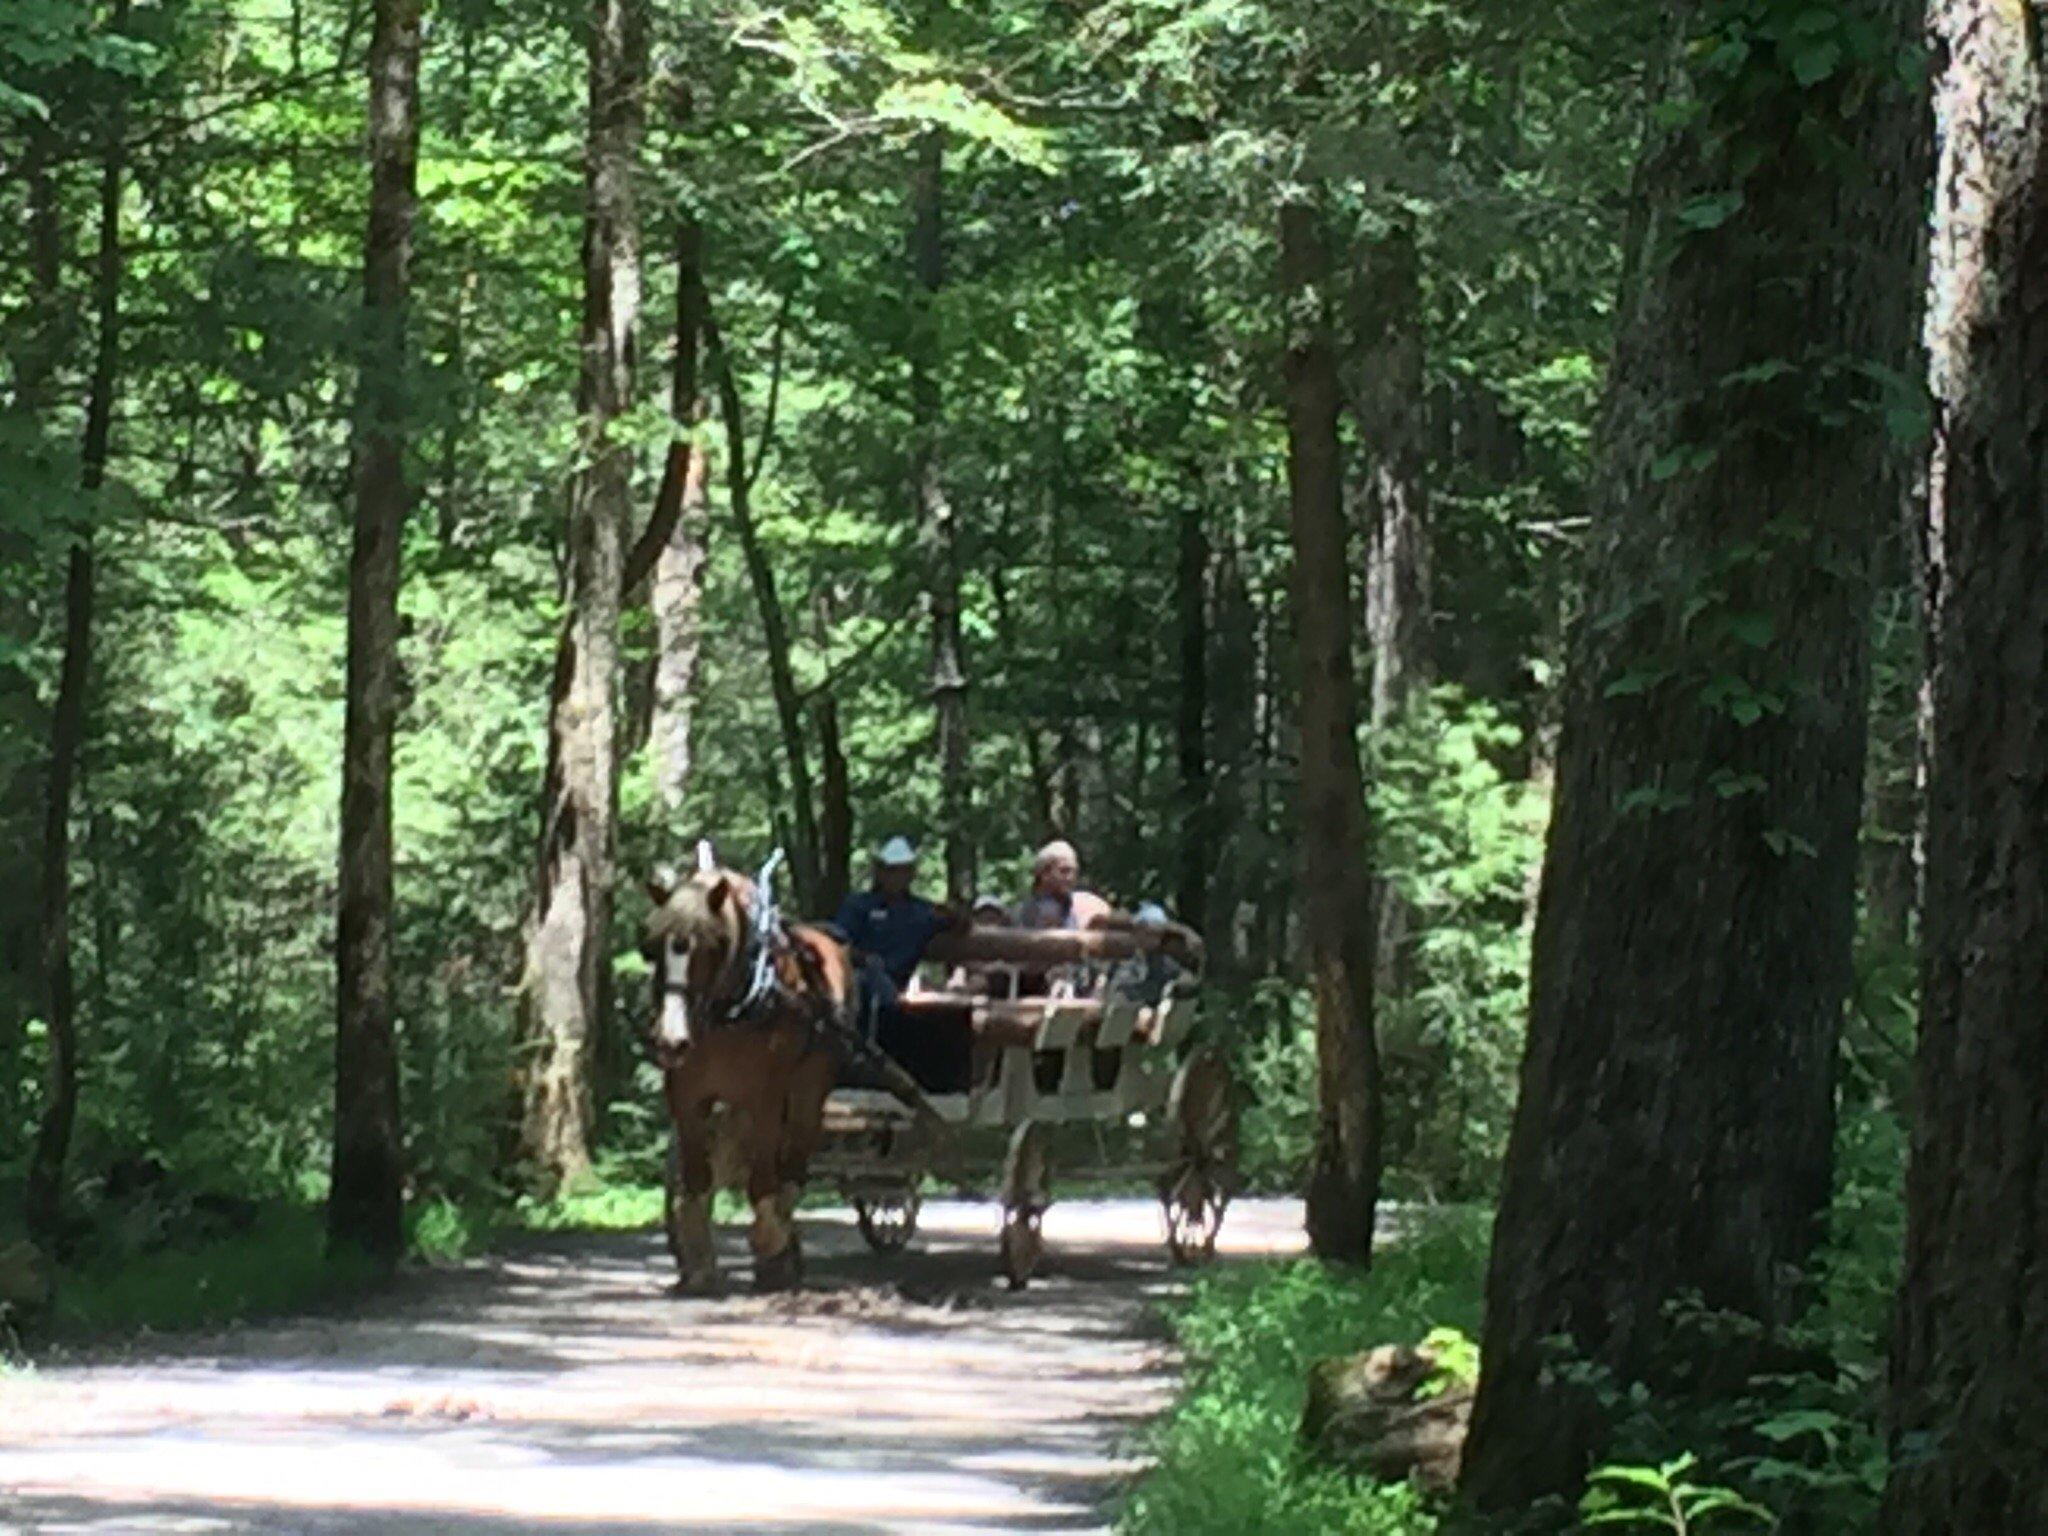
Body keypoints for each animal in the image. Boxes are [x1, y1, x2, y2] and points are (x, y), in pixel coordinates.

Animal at [647, 860, 856, 1294]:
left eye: (711, 946)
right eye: (653, 948)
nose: (671, 1040)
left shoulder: (766, 1095)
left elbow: (762, 1183)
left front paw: (768, 1240)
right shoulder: (687, 1095)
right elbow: (696, 1180)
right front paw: (698, 1264)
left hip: (808, 1089)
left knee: (792, 1165)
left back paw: (779, 1246)